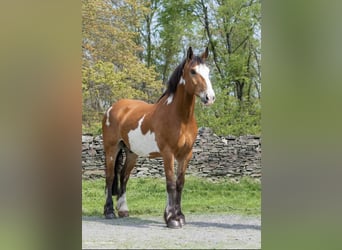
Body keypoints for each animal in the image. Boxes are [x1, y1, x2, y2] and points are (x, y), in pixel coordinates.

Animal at [100, 47, 215, 229]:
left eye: (208, 71)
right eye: (193, 71)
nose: (209, 97)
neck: (180, 117)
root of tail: (112, 108)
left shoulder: (185, 155)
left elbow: (180, 184)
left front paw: (179, 216)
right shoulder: (168, 153)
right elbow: (170, 184)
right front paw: (172, 219)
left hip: (132, 153)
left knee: (124, 177)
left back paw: (123, 210)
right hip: (111, 149)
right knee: (110, 177)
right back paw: (109, 211)